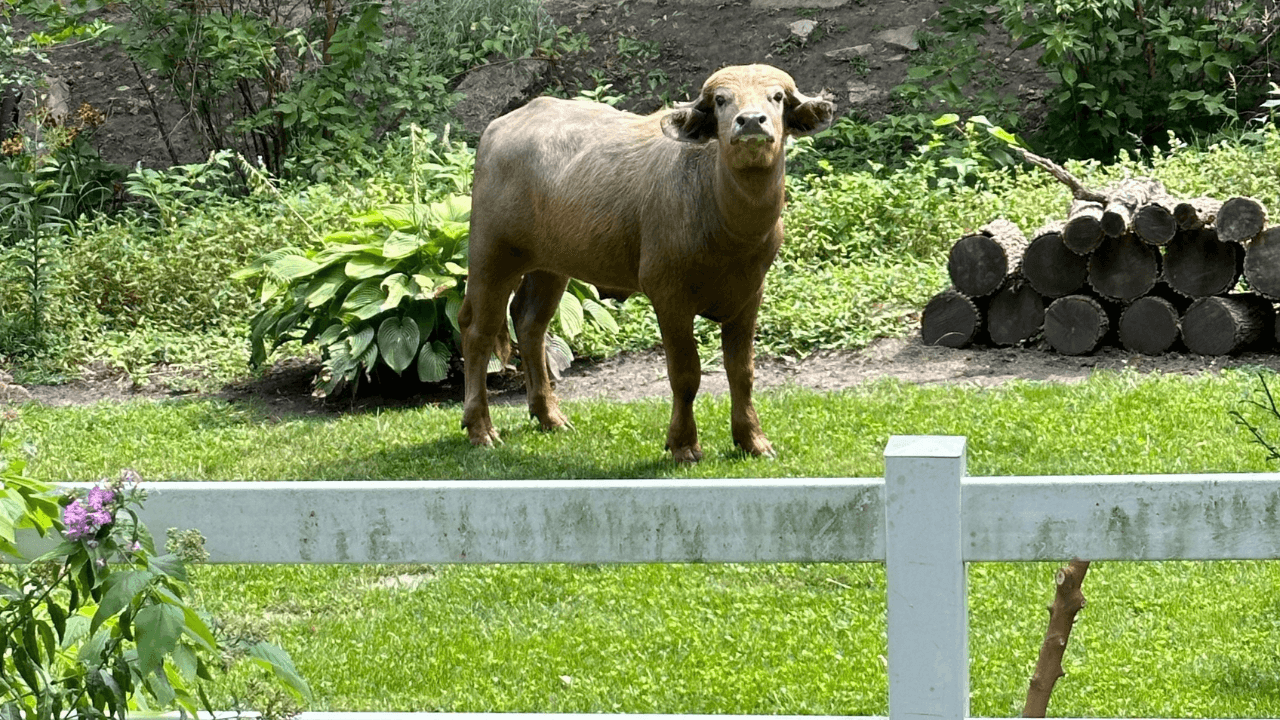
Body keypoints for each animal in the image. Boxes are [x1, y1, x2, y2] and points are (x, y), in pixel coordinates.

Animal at [460, 64, 839, 461]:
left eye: (776, 97)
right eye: (721, 100)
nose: (750, 121)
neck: (727, 224)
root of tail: (498, 128)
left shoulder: (749, 295)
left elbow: (742, 372)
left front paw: (752, 439)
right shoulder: (669, 295)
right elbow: (686, 374)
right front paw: (683, 444)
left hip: (549, 264)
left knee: (530, 322)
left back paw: (549, 416)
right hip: (492, 254)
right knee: (478, 330)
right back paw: (480, 428)